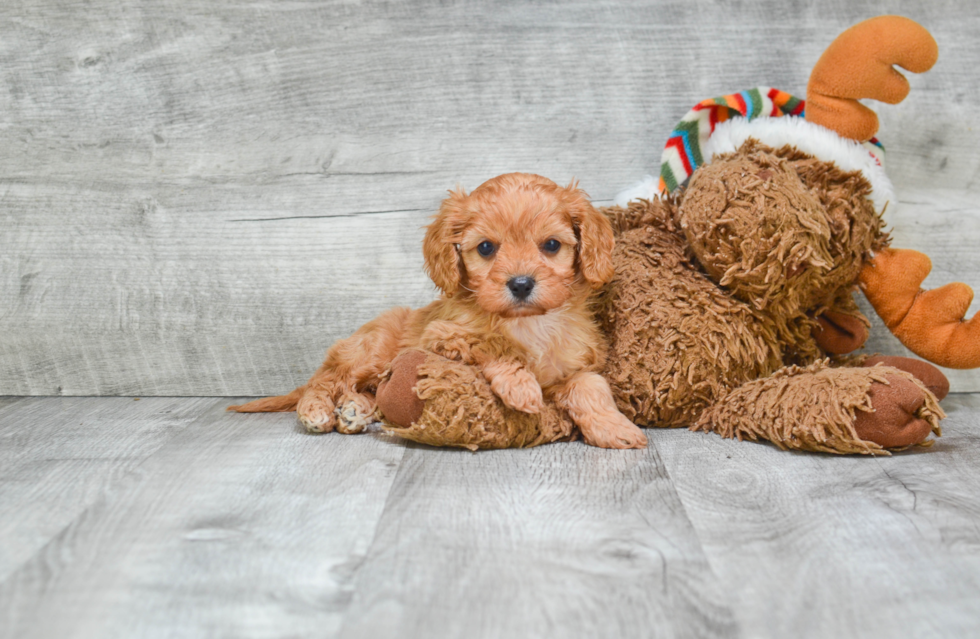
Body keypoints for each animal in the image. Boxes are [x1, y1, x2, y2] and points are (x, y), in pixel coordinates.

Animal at [232, 174, 652, 450]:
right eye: (486, 248)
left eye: (551, 245)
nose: (520, 284)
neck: (529, 324)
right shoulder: (444, 334)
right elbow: (494, 344)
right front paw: (521, 386)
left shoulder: (576, 364)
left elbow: (590, 387)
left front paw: (614, 428)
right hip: (369, 352)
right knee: (327, 379)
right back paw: (318, 409)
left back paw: (355, 411)